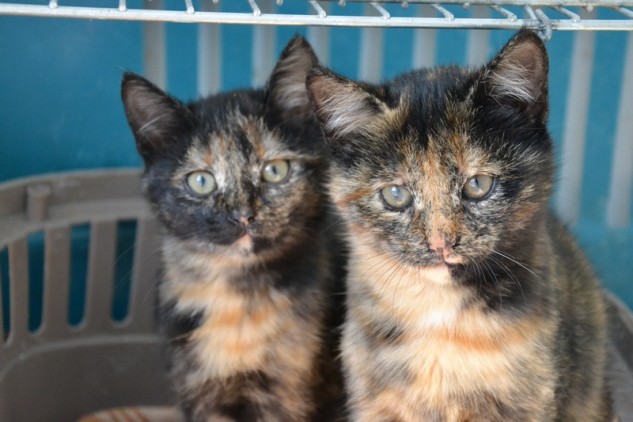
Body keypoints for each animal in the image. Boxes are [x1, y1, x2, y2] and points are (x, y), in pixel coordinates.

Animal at [121, 36, 346, 422]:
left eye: (275, 170)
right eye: (201, 181)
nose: (243, 215)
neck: (239, 295)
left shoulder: (286, 391)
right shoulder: (197, 387)